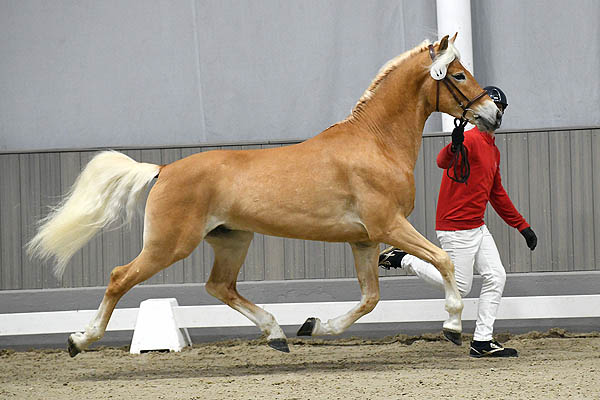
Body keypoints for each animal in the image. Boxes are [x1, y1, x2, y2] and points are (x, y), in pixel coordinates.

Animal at [28, 32, 502, 354]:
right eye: (458, 75)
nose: (493, 113)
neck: (375, 142)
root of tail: (163, 170)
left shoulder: (365, 239)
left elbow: (369, 299)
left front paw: (315, 326)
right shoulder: (389, 225)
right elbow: (443, 261)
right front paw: (453, 327)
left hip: (232, 240)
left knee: (220, 286)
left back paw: (276, 334)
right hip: (169, 245)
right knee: (120, 277)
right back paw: (79, 339)